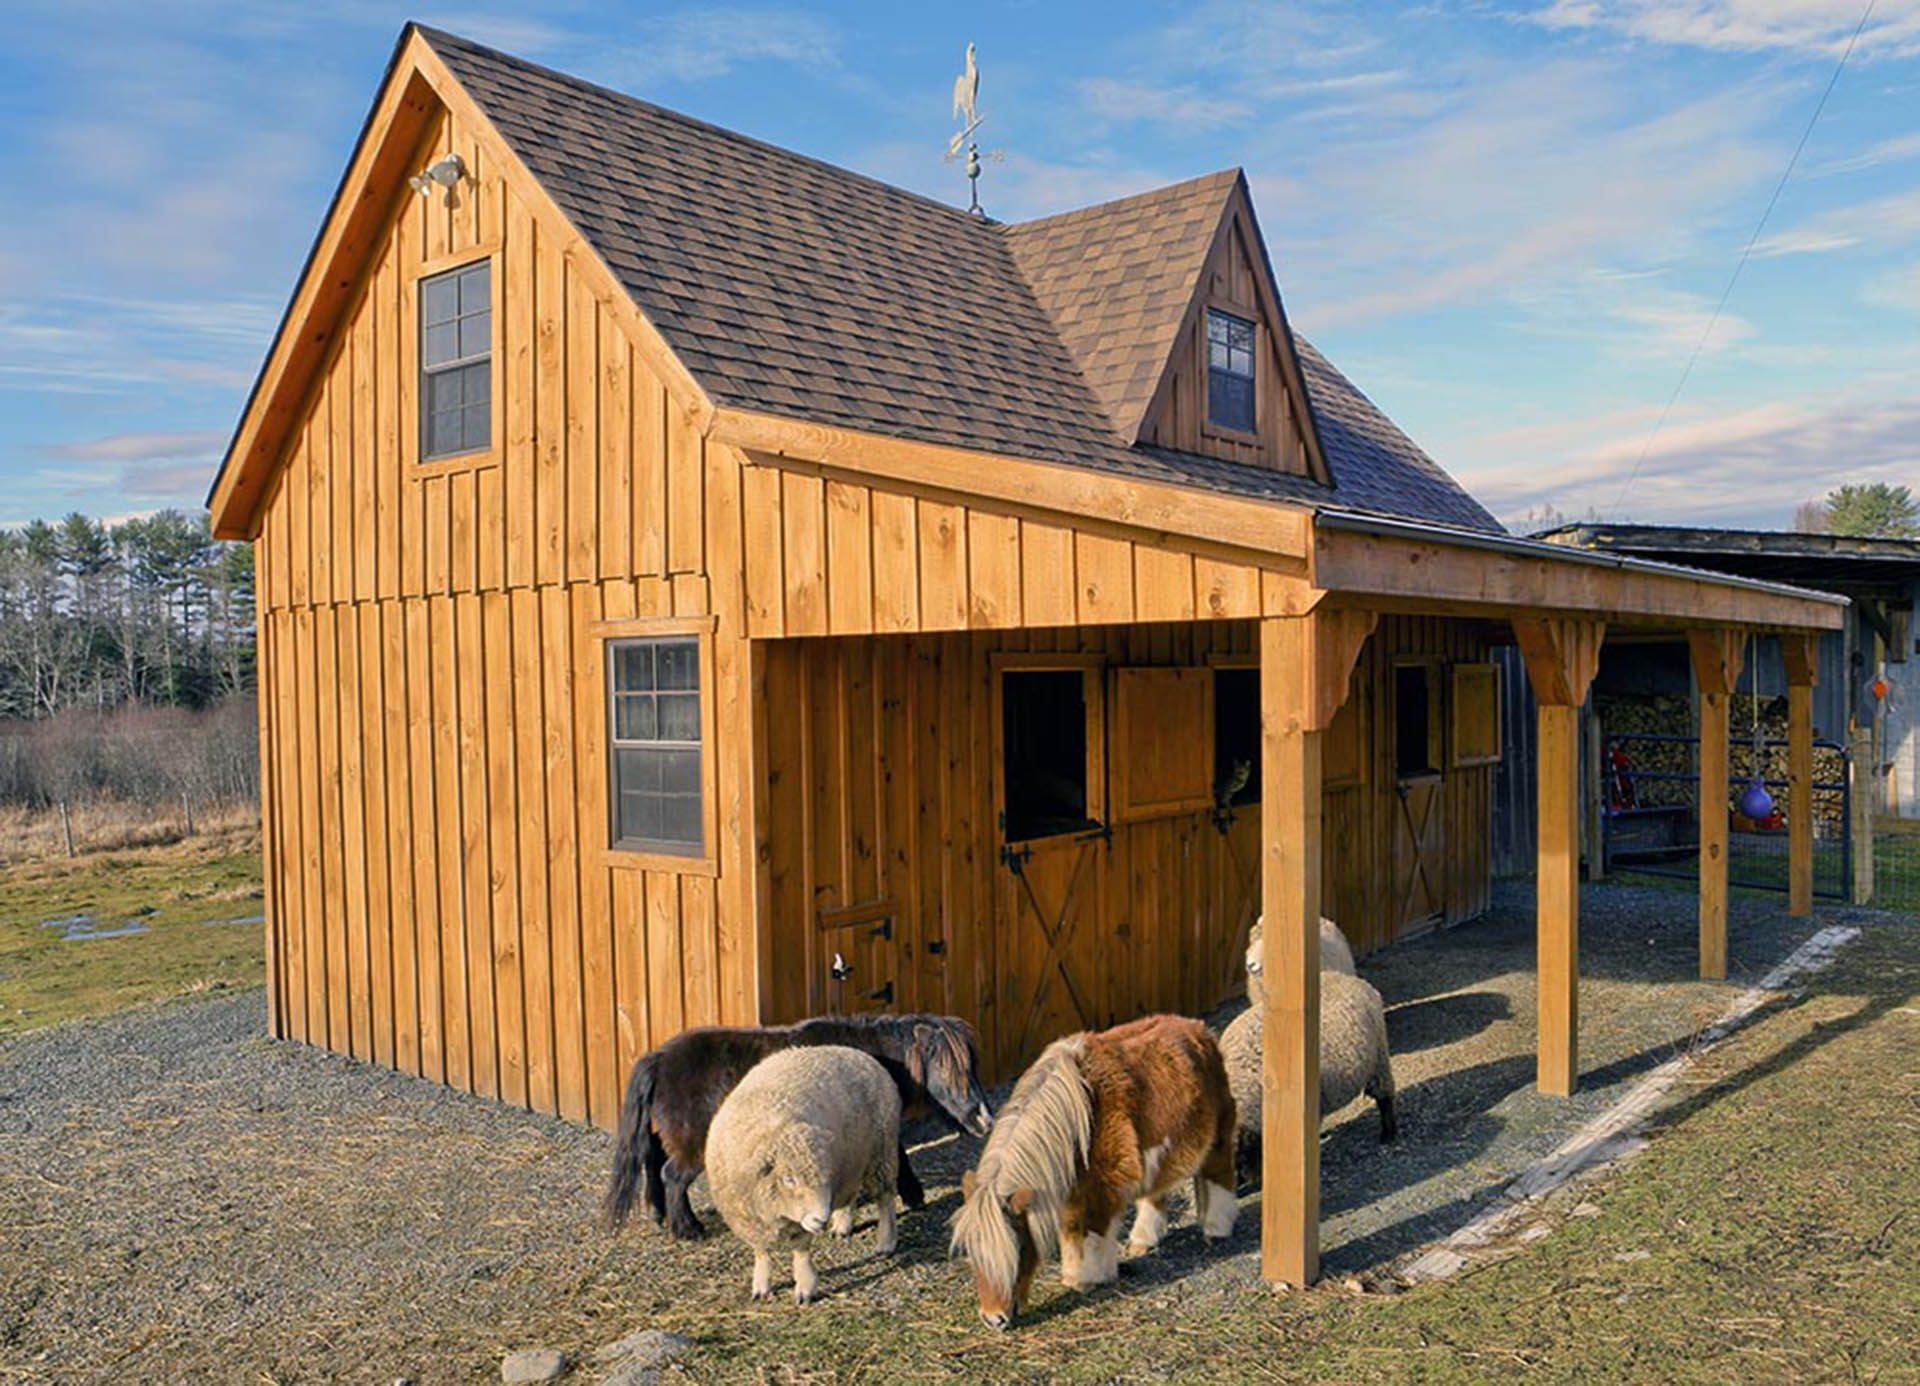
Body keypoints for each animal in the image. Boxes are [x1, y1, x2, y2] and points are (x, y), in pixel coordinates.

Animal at [605, 1012, 992, 1240]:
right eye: (947, 1069)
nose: (983, 1118)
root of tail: (660, 1059)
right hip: (692, 1146)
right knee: (672, 1176)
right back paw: (688, 1229)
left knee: (653, 1166)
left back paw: (659, 1215)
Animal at [950, 1014, 1238, 1329]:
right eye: (972, 1253)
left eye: (1018, 1251)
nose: (993, 1319)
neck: (1077, 1115)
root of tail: (1198, 1028)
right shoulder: (1069, 1188)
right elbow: (1071, 1228)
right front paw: (1074, 1274)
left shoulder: (1102, 1183)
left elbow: (1091, 1229)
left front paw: (1087, 1278)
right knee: (1155, 1193)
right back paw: (1143, 1241)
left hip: (1217, 1138)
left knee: (1218, 1176)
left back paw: (1217, 1230)